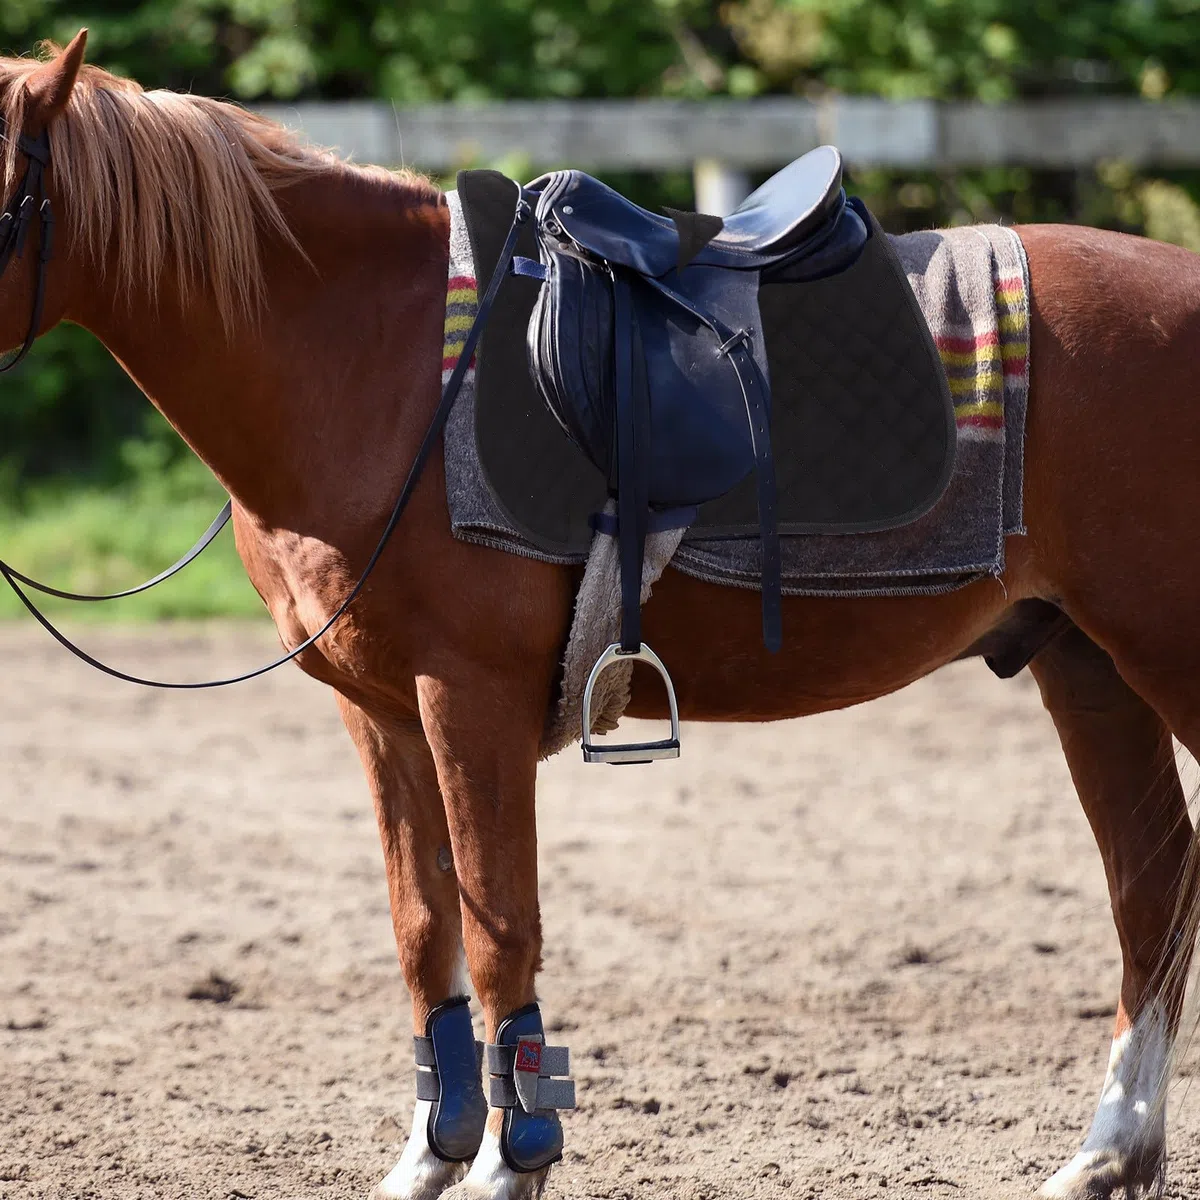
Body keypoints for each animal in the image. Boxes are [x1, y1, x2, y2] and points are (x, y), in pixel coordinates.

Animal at [2, 32, 1198, 1200]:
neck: (373, 365)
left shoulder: (467, 700)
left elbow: (499, 930)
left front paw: (508, 1161)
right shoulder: (380, 715)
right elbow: (425, 926)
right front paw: (433, 1153)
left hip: (1158, 652)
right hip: (1084, 663)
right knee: (1151, 879)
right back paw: (1104, 1155)